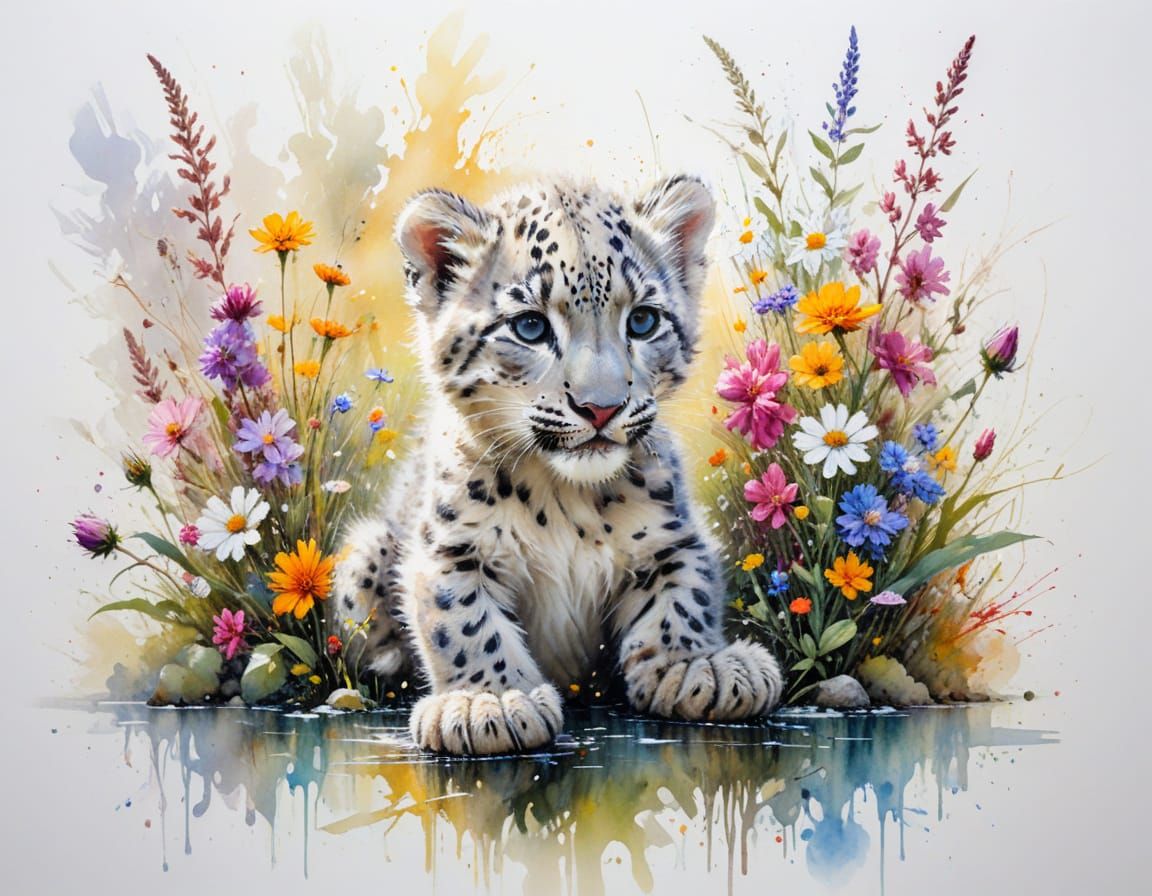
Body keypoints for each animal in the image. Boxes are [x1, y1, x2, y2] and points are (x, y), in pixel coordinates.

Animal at [332, 175, 783, 755]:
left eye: (643, 320)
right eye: (529, 326)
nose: (602, 406)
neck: (566, 499)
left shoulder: (672, 537)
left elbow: (686, 592)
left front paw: (696, 665)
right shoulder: (451, 548)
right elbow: (463, 618)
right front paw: (490, 702)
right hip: (366, 550)